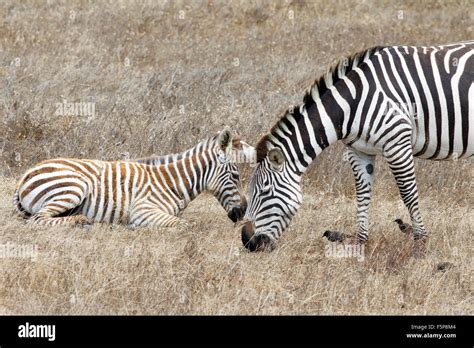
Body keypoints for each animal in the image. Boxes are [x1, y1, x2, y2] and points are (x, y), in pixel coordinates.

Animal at [12, 128, 254, 228]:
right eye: (235, 175)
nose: (243, 212)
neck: (171, 182)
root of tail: (24, 177)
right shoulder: (143, 209)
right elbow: (187, 224)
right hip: (73, 186)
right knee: (38, 219)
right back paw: (80, 221)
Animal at [241, 42, 474, 251]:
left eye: (264, 191)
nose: (247, 241)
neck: (351, 103)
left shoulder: (397, 142)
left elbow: (408, 193)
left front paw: (420, 242)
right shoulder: (359, 150)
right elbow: (362, 193)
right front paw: (359, 242)